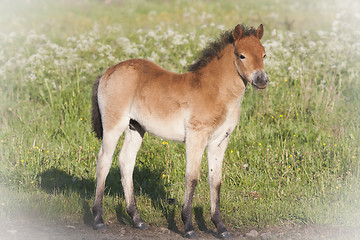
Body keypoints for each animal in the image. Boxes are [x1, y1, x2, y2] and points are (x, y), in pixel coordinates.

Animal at [91, 23, 268, 239]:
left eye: (264, 54)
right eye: (242, 55)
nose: (262, 80)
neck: (215, 90)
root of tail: (108, 72)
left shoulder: (220, 141)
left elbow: (215, 180)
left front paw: (221, 227)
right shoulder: (196, 137)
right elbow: (192, 178)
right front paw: (189, 227)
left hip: (136, 128)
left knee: (126, 162)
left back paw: (137, 220)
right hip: (113, 125)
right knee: (104, 160)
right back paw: (98, 219)